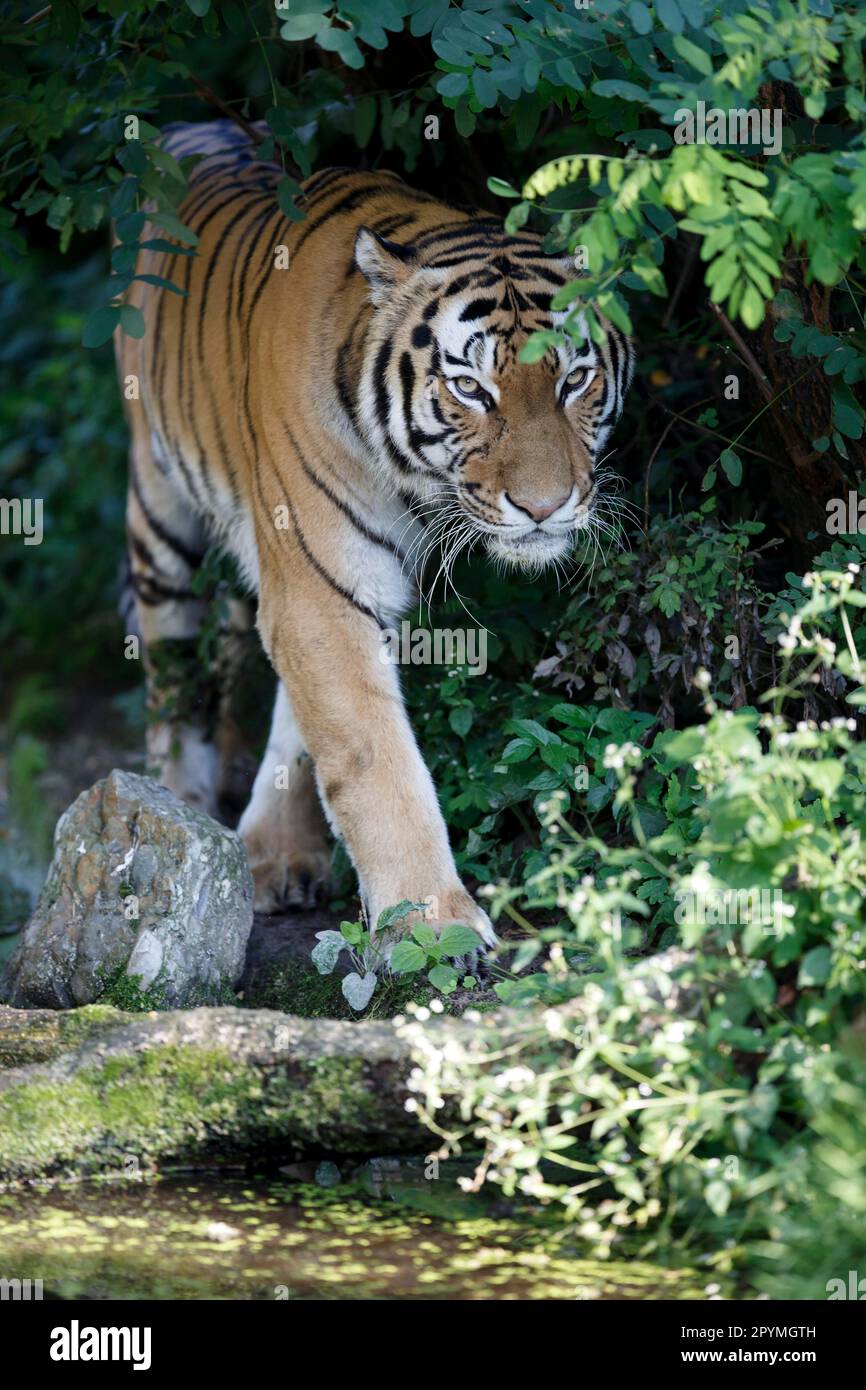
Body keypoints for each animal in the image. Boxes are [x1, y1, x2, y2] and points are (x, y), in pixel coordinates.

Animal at [115, 122, 633, 956]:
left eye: (573, 381)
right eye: (470, 389)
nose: (545, 506)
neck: (417, 485)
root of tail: (193, 126)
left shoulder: (315, 584)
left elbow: (317, 728)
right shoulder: (319, 588)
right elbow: (375, 759)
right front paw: (434, 925)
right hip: (160, 512)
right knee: (171, 669)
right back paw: (176, 801)